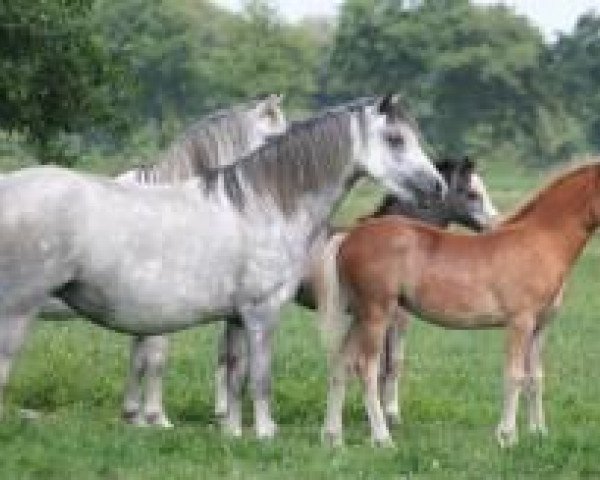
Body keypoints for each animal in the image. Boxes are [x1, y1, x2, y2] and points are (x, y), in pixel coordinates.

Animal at [0, 94, 442, 438]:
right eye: (395, 139)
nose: (436, 186)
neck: (261, 204)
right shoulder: (261, 314)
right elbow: (259, 378)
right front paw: (264, 433)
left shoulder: (234, 318)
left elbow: (234, 376)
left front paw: (231, 432)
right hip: (17, 313)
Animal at [322, 163, 600, 448]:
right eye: (471, 194)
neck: (539, 241)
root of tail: (349, 237)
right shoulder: (520, 323)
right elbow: (514, 376)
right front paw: (507, 436)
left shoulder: (540, 327)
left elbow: (535, 377)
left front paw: (538, 432)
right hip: (377, 315)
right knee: (366, 368)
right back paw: (382, 439)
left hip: (360, 316)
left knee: (342, 364)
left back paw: (333, 437)